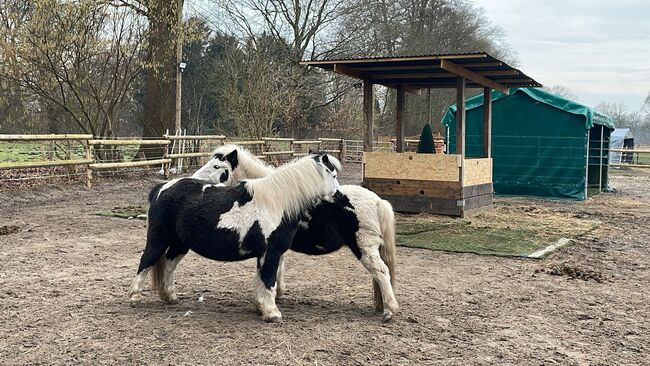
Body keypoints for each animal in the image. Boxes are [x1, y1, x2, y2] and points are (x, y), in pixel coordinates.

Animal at [126, 153, 340, 322]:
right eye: (333, 175)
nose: (339, 196)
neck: (277, 202)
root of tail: (162, 187)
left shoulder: (264, 254)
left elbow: (261, 281)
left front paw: (261, 307)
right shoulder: (271, 252)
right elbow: (269, 281)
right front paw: (272, 313)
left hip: (180, 244)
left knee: (169, 265)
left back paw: (170, 297)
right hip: (158, 240)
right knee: (146, 261)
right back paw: (135, 297)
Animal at [192, 144, 398, 322]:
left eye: (217, 166)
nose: (195, 181)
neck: (274, 194)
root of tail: (378, 201)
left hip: (364, 247)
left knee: (381, 272)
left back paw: (389, 310)